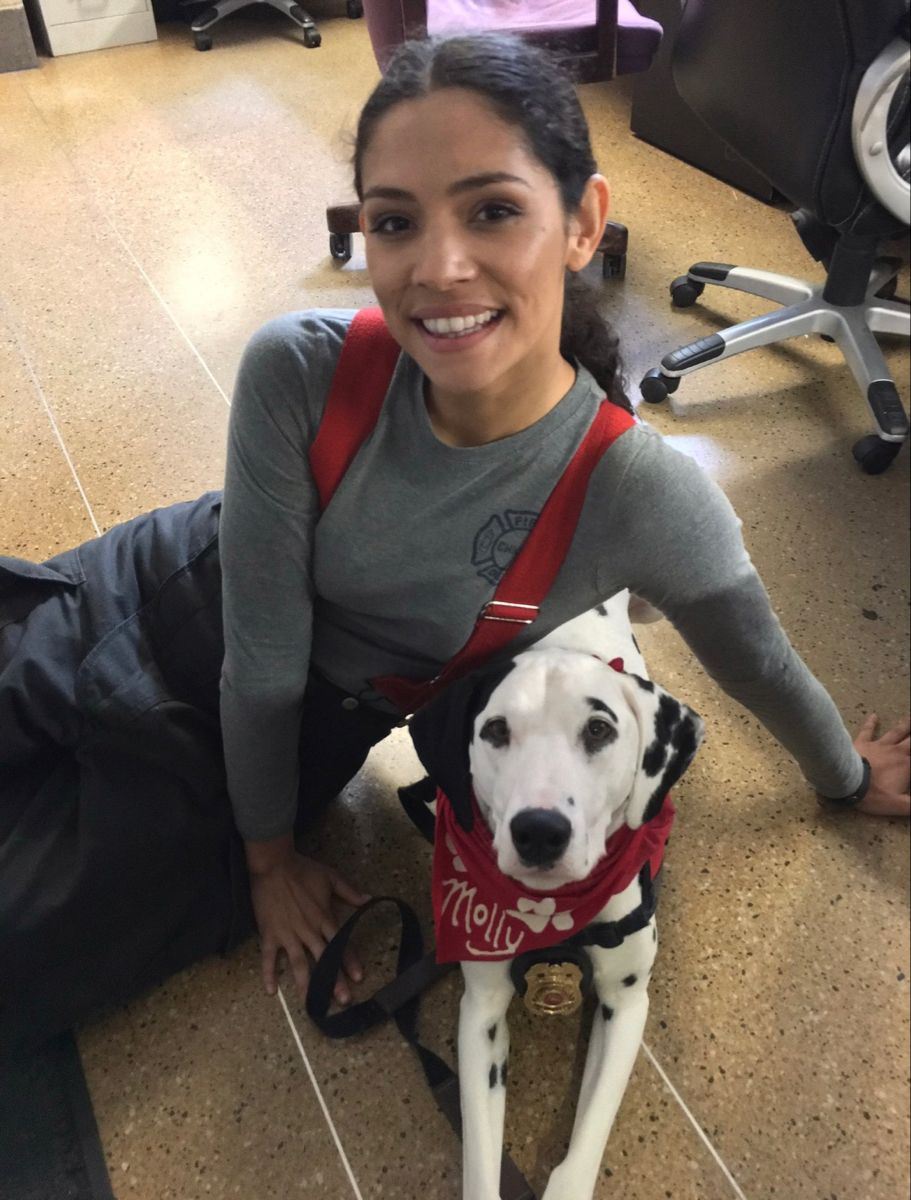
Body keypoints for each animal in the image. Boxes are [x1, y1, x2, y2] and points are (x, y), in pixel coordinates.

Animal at [408, 590, 705, 1200]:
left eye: (598, 730)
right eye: (495, 730)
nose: (540, 831)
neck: (553, 914)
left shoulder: (626, 1005)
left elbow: (584, 1145)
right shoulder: (481, 1012)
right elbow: (481, 1160)